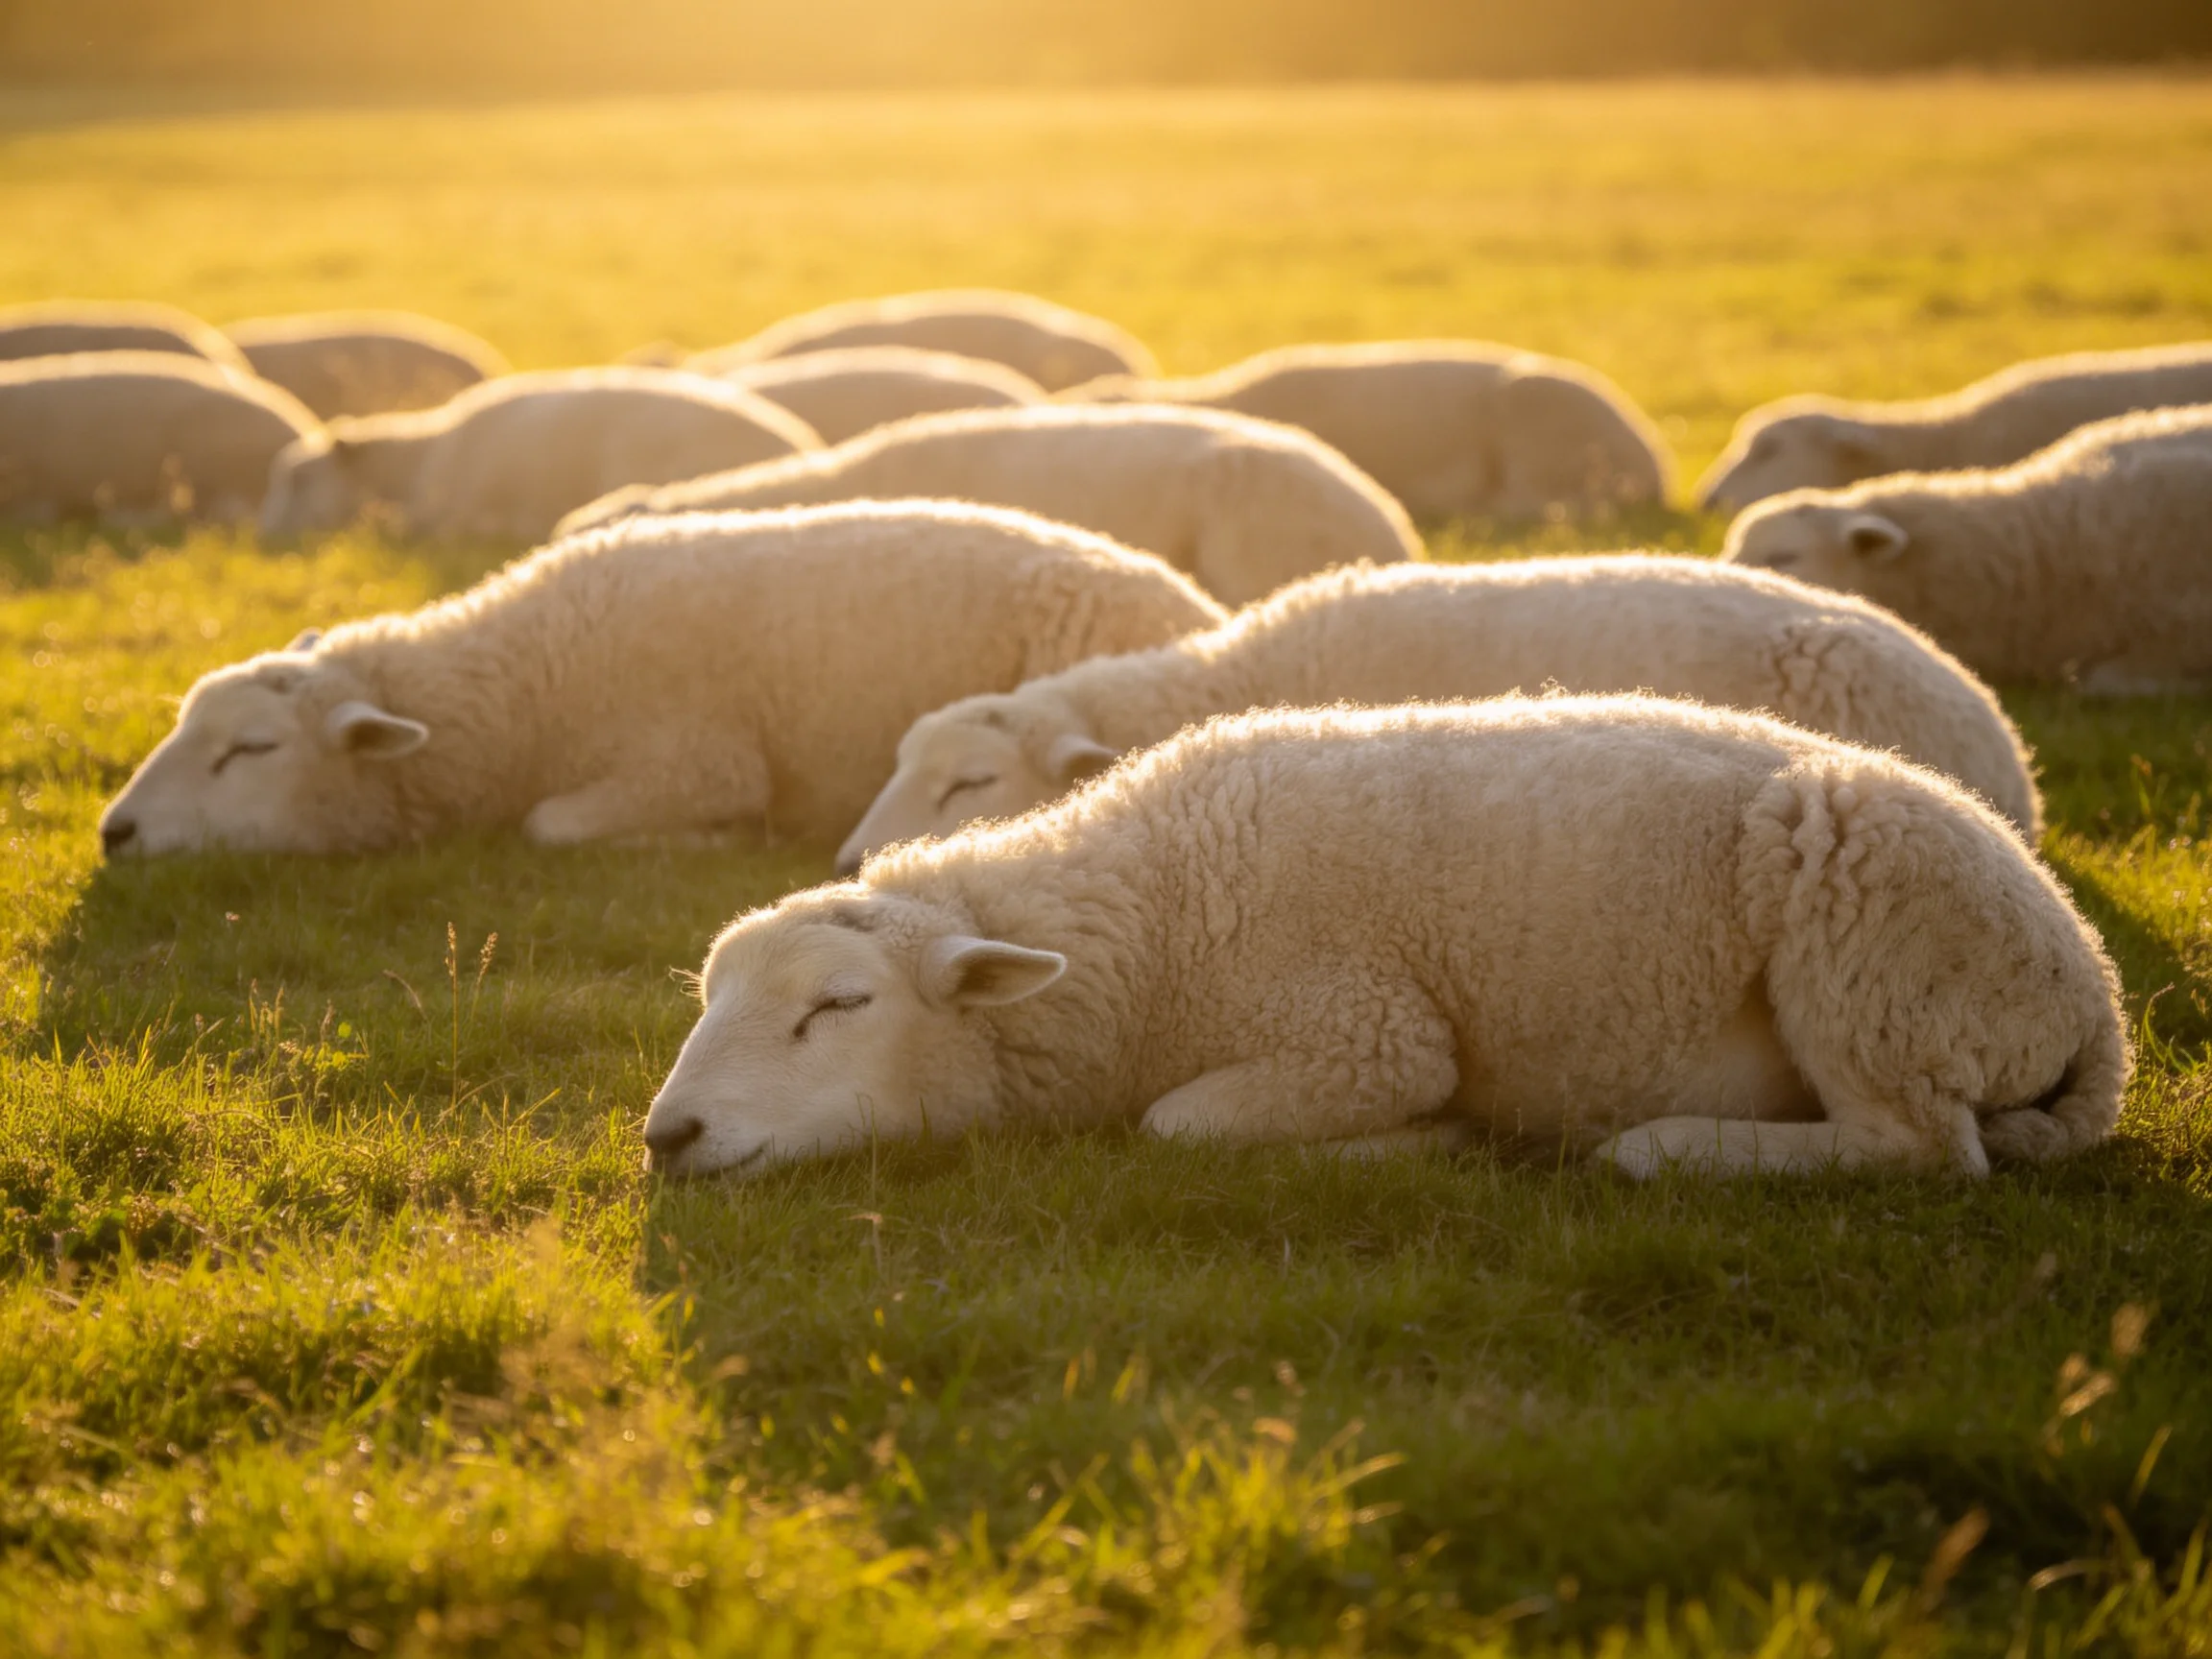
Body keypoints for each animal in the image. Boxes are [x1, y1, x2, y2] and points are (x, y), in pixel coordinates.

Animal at [96, 501, 1224, 859]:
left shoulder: (690, 763)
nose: (114, 833)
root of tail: (1199, 608)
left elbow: (550, 826)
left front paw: (716, 840)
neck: (527, 685)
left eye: (253, 749)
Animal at [642, 697, 2123, 1182]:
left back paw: (1664, 1146)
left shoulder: (1361, 1035)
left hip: (1873, 969)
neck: (1154, 913)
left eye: (839, 1005)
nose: (669, 1135)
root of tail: (2090, 989)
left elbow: (1181, 1126)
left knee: (1919, 1147)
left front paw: (1436, 1140)